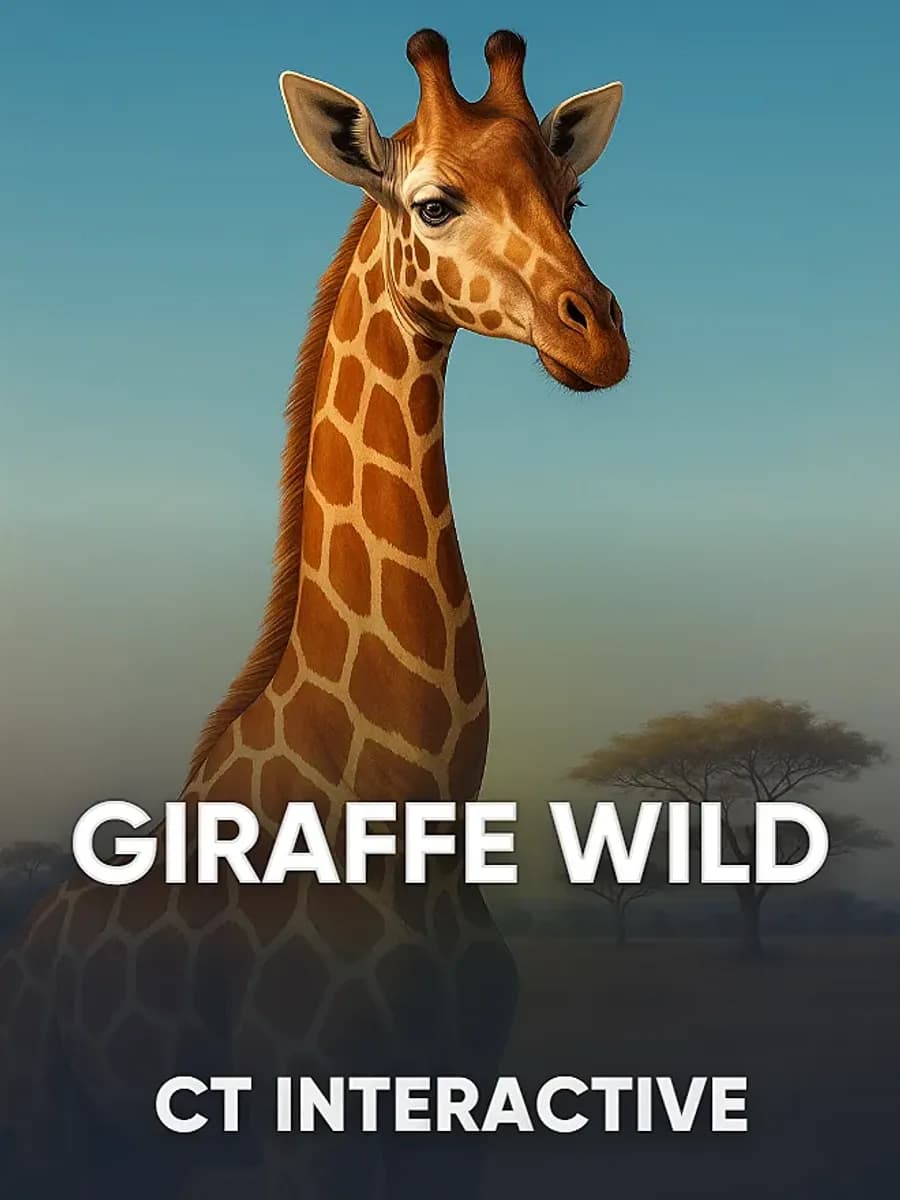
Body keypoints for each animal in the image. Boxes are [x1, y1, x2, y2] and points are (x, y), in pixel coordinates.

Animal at [0, 29, 629, 1199]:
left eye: (574, 196)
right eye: (435, 203)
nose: (598, 338)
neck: (407, 809)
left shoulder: (456, 1110)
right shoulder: (305, 1118)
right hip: (49, 1120)